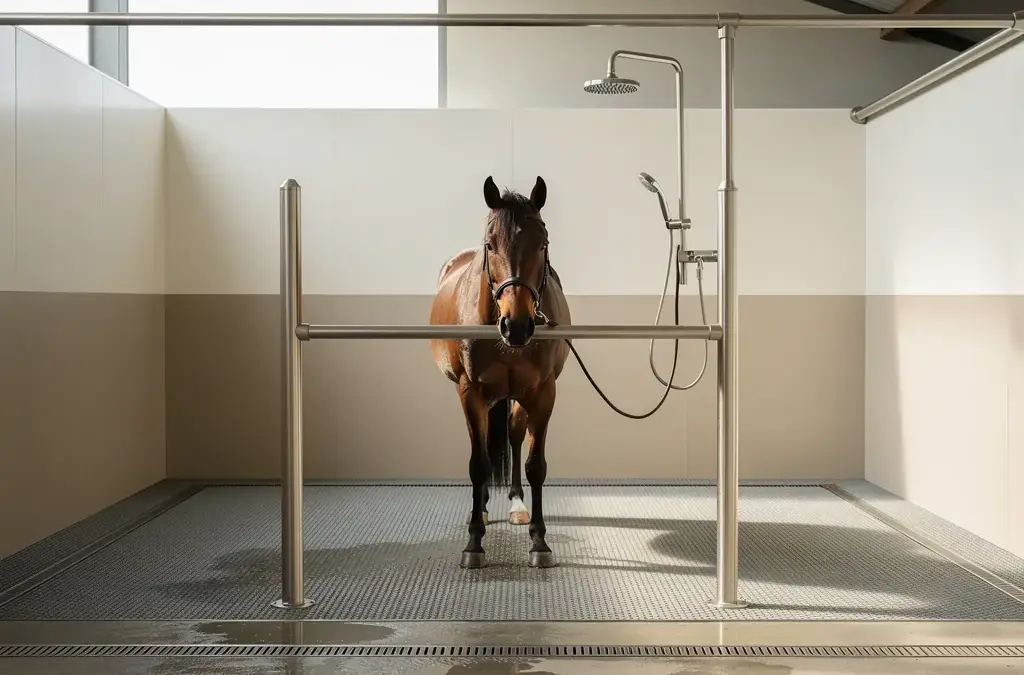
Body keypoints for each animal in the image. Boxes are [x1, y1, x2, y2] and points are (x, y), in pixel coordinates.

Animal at [429, 175, 571, 570]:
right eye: (490, 245)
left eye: (543, 243)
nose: (517, 325)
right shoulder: (471, 392)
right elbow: (478, 464)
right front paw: (474, 542)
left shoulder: (543, 393)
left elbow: (536, 465)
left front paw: (539, 541)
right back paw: (481, 508)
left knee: (513, 435)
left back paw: (516, 504)